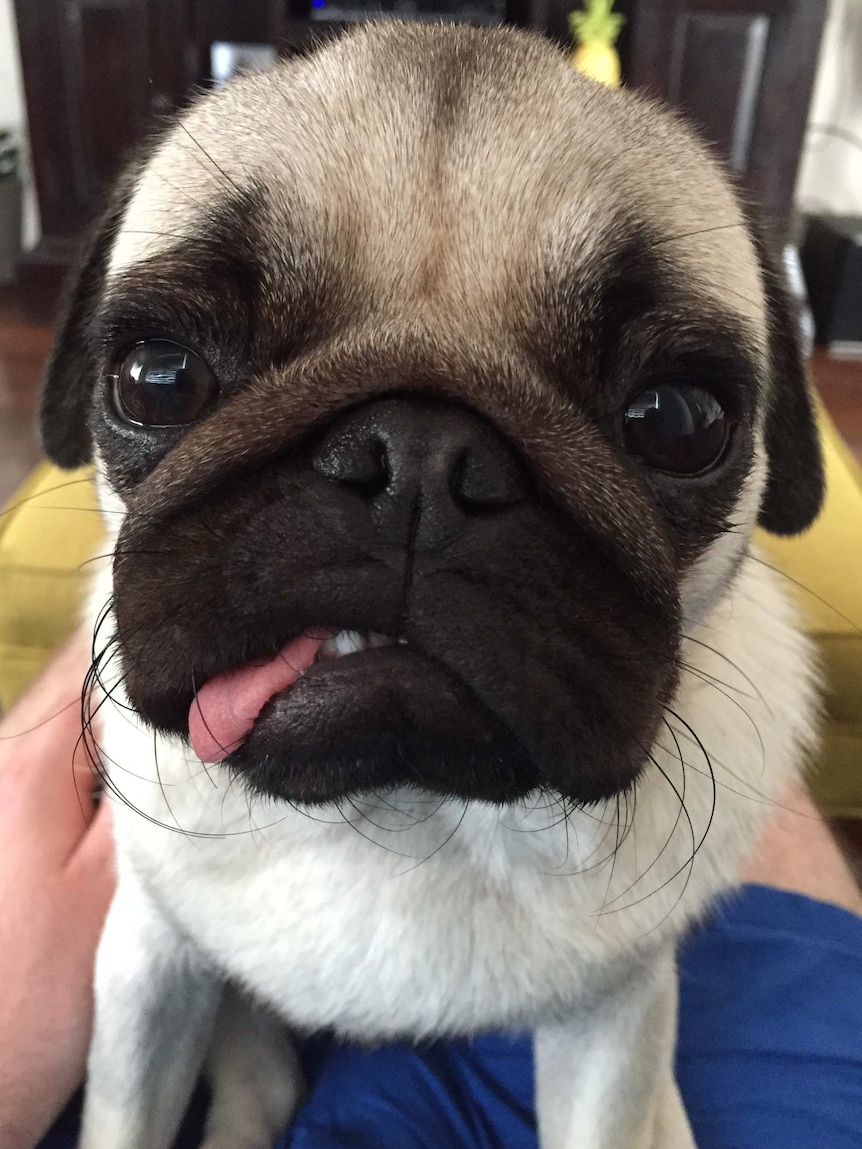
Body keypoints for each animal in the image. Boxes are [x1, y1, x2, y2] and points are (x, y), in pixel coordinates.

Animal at [40, 17, 822, 1149]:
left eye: (677, 420)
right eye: (159, 376)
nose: (415, 458)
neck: (403, 814)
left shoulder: (615, 1022)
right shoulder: (150, 965)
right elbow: (123, 1114)